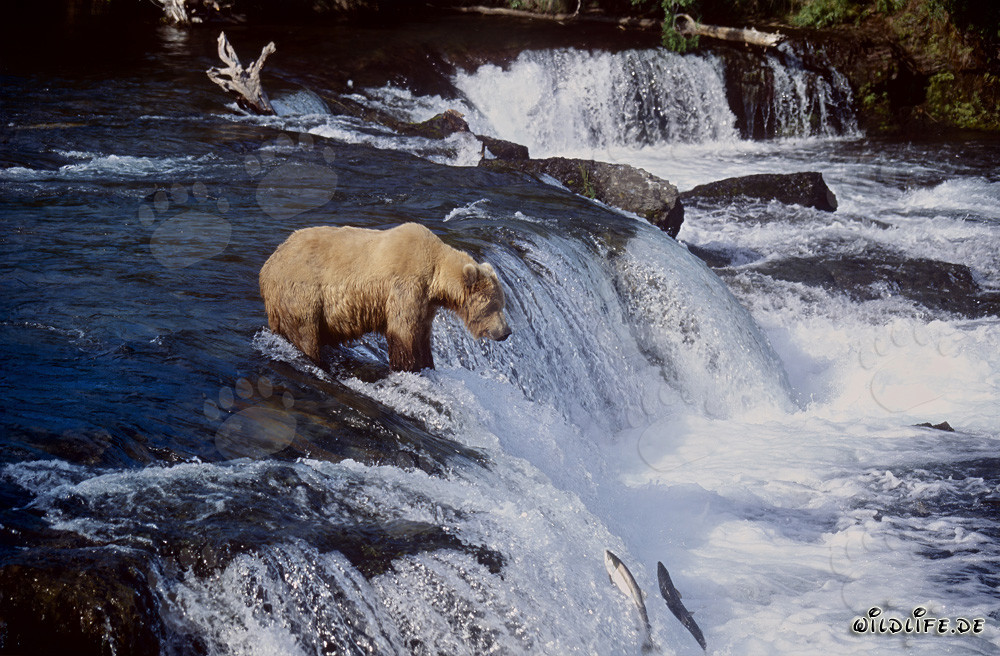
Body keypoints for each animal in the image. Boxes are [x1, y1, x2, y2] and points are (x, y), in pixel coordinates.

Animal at [259, 222, 511, 372]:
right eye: (494, 306)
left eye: (502, 303)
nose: (506, 332)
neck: (435, 276)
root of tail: (268, 265)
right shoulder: (406, 285)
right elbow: (402, 330)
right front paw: (407, 367)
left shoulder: (426, 303)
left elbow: (421, 332)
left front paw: (426, 363)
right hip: (301, 291)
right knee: (305, 332)